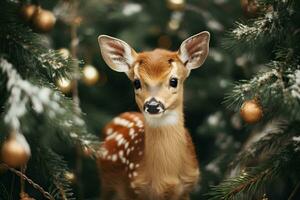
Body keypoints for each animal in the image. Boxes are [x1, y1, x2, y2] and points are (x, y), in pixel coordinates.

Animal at [97, 31, 210, 200]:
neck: (164, 178)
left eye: (174, 81)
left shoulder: (187, 188)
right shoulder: (133, 188)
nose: (152, 105)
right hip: (107, 183)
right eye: (136, 83)